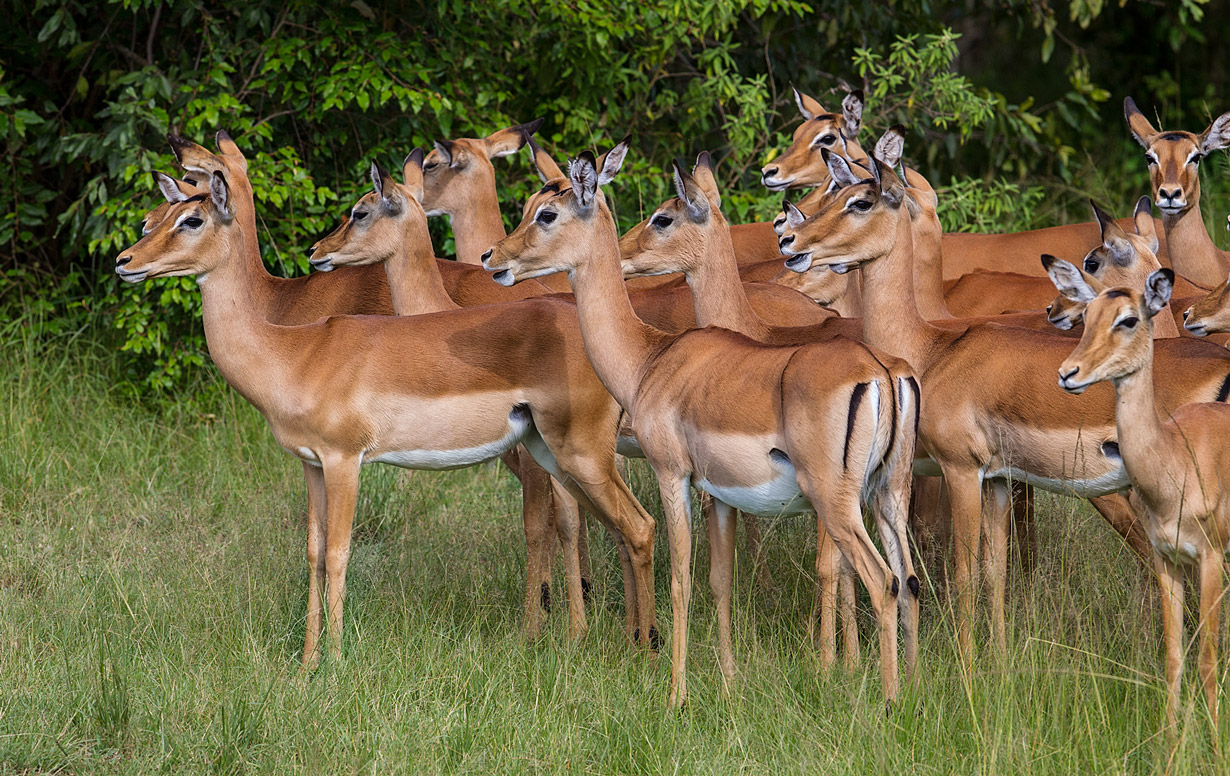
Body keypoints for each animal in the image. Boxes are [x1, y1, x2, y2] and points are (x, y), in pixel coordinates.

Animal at [119, 135, 669, 669]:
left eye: (192, 219)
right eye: (155, 219)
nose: (125, 261)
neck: (292, 350)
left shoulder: (345, 459)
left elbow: (339, 553)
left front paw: (335, 664)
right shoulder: (310, 464)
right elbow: (313, 553)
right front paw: (306, 664)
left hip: (581, 454)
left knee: (638, 526)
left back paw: (642, 652)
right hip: (554, 455)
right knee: (613, 529)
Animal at [484, 141, 920, 708]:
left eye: (547, 213)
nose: (493, 257)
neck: (651, 359)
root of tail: (881, 371)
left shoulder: (674, 476)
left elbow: (680, 580)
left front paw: (675, 695)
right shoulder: (722, 494)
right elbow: (719, 579)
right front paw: (730, 683)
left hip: (836, 500)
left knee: (880, 580)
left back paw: (886, 701)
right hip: (889, 491)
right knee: (908, 580)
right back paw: (916, 689)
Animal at [782, 150, 1230, 654]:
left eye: (861, 201)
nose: (791, 240)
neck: (931, 349)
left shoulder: (961, 470)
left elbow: (964, 575)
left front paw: (966, 665)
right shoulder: (998, 479)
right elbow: (995, 573)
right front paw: (997, 659)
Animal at [1047, 264, 1230, 732]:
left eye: (1129, 319)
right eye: (1087, 316)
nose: (1068, 373)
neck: (1174, 461)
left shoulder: (1211, 558)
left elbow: (1206, 661)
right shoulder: (1167, 560)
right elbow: (1173, 659)